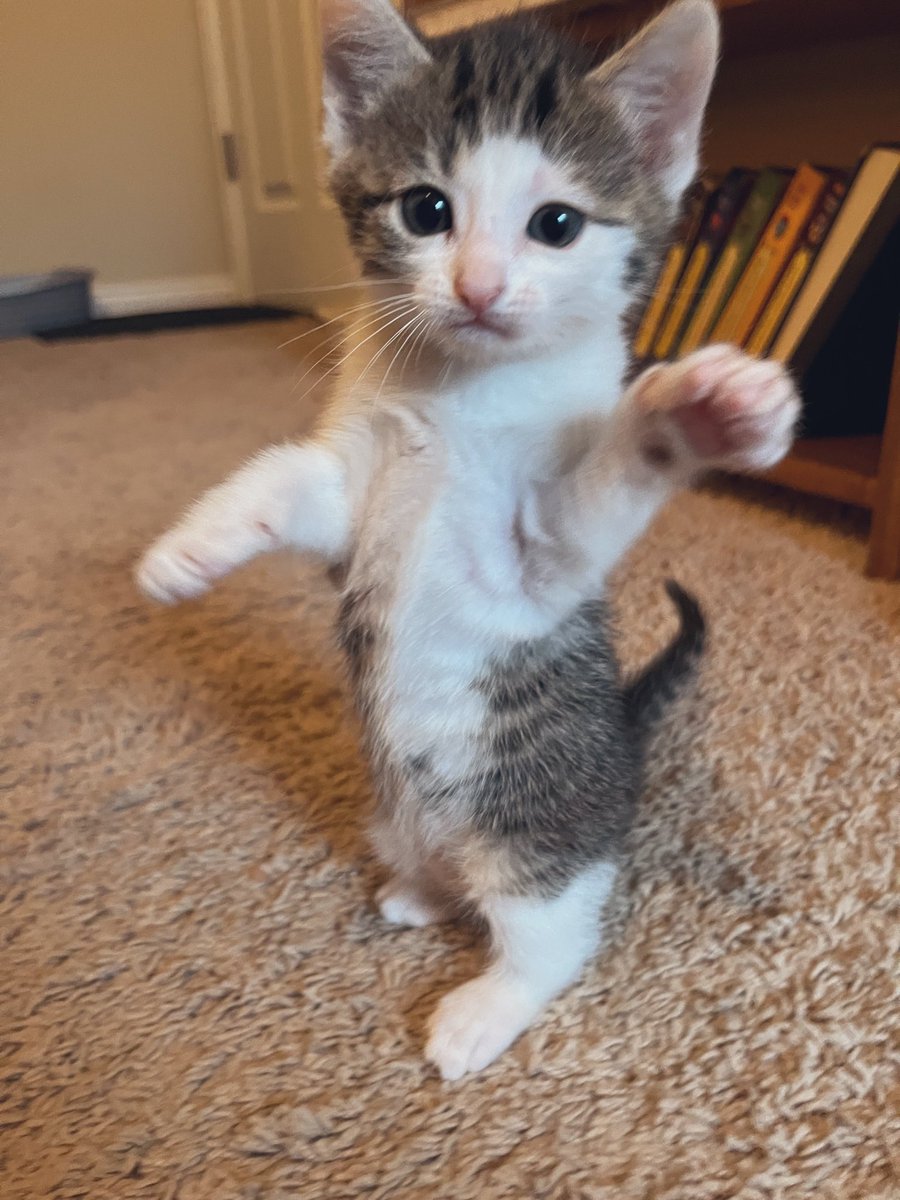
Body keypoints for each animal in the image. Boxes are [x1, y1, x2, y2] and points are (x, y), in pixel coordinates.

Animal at [137, 0, 801, 1080]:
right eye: (426, 210)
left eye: (557, 224)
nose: (482, 287)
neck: (460, 396)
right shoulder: (355, 499)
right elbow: (293, 478)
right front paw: (188, 548)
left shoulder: (541, 561)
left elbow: (599, 493)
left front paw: (698, 411)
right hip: (399, 817)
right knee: (445, 879)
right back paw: (419, 893)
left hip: (535, 833)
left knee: (553, 938)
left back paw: (483, 1007)